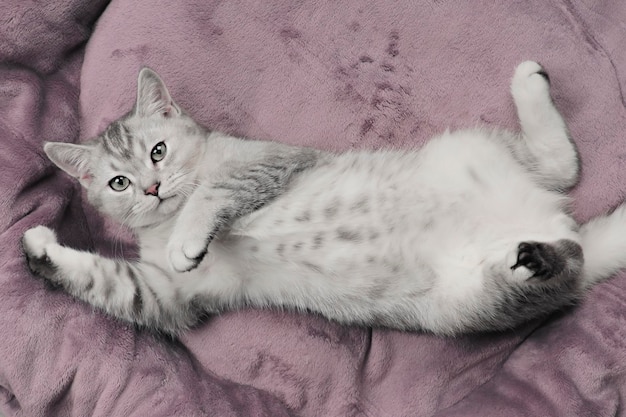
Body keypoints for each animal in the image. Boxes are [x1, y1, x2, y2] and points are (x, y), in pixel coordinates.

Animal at [22, 61, 624, 334]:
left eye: (159, 151)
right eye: (118, 183)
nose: (151, 187)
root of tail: (551, 221)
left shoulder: (273, 162)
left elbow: (214, 191)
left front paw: (189, 234)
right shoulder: (168, 293)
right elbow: (109, 282)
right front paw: (38, 250)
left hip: (472, 149)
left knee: (563, 165)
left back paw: (530, 84)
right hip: (469, 301)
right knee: (565, 262)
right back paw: (536, 259)